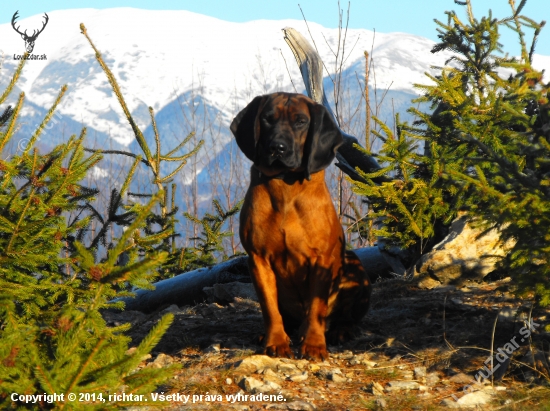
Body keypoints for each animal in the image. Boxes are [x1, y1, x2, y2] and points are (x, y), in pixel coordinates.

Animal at [231, 91, 374, 360]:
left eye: (301, 122)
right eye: (267, 118)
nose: (277, 147)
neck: (285, 185)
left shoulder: (321, 260)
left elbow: (316, 307)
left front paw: (314, 345)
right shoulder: (258, 259)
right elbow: (269, 307)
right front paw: (276, 341)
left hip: (355, 264)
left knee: (345, 316)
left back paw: (340, 330)